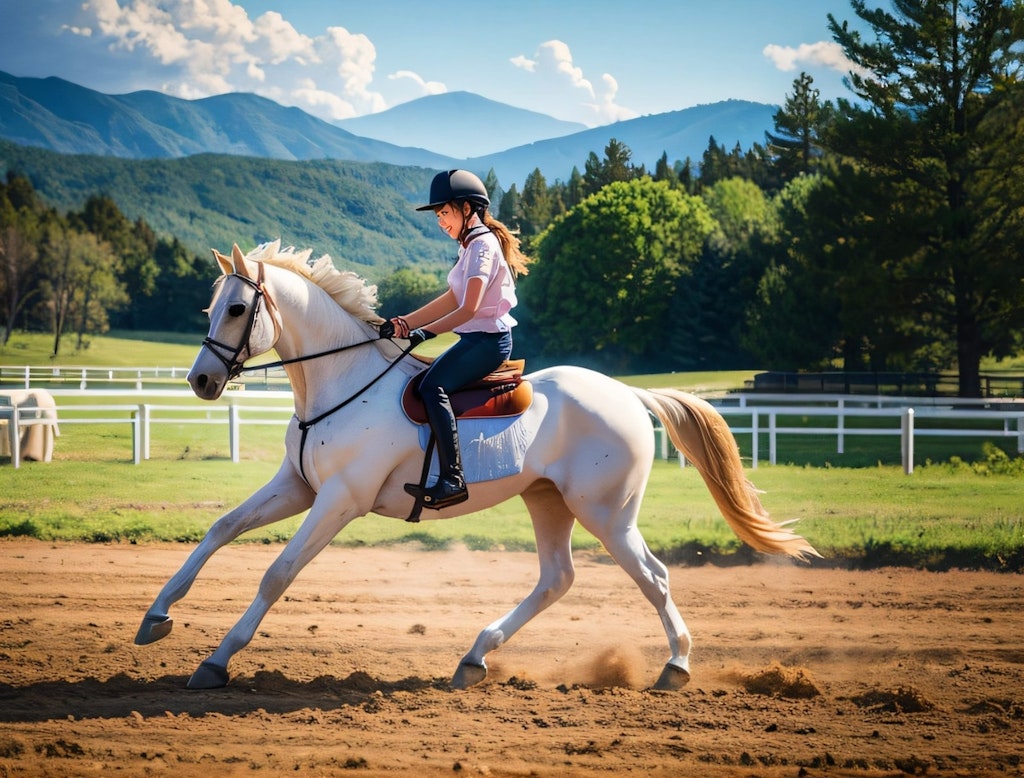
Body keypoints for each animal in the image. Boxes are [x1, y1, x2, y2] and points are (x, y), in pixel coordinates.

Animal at [138, 240, 823, 687]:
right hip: (548, 501)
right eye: (209, 308)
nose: (201, 381)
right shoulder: (297, 487)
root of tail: (628, 394)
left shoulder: (337, 501)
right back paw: (474, 657)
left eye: (236, 309)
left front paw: (217, 660)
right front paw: (156, 617)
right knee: (556, 579)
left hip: (606, 512)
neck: (341, 381)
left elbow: (277, 574)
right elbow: (220, 529)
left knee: (652, 577)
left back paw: (676, 667)